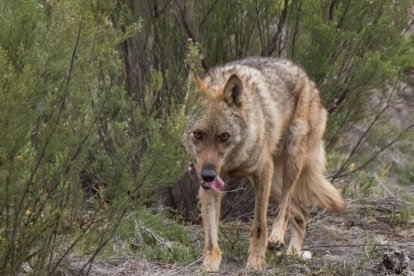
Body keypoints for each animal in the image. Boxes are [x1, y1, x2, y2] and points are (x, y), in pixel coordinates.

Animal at [184, 56, 342, 272]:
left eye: (224, 137)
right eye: (198, 134)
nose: (208, 175)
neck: (233, 161)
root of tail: (308, 79)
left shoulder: (262, 172)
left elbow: (259, 225)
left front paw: (256, 261)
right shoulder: (210, 187)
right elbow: (210, 236)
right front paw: (209, 263)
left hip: (289, 162)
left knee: (285, 208)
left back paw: (277, 237)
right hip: (273, 187)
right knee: (302, 213)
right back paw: (293, 253)